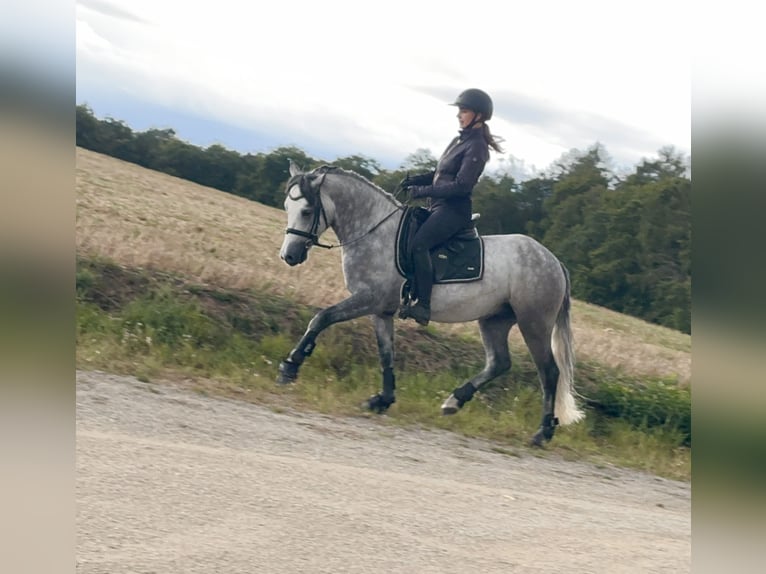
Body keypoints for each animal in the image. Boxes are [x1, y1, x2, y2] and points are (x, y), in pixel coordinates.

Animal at [280, 164, 584, 448]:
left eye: (306, 210)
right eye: (286, 207)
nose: (289, 256)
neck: (375, 231)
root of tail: (553, 261)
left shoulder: (368, 299)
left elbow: (321, 318)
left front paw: (290, 366)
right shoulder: (381, 310)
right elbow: (386, 354)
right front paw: (382, 399)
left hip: (534, 323)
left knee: (549, 372)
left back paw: (543, 432)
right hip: (494, 320)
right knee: (499, 362)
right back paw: (454, 401)